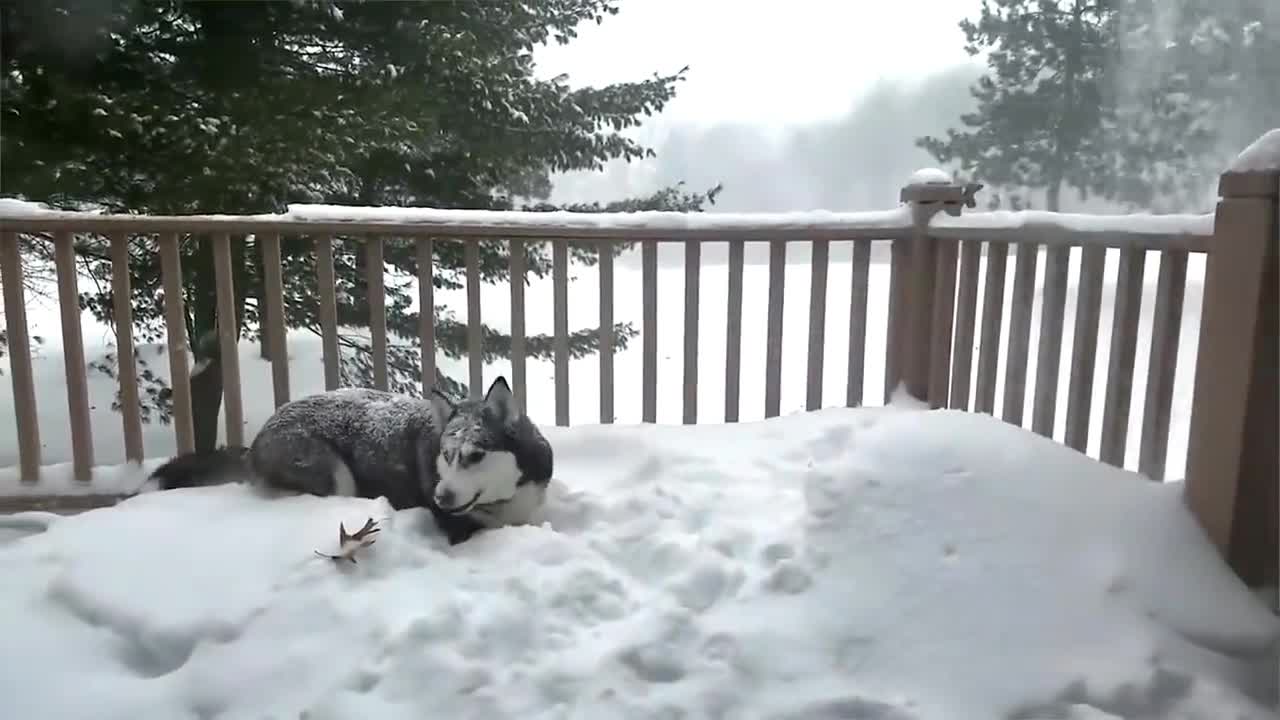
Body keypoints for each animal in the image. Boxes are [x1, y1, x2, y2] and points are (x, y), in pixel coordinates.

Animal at [146, 379, 555, 540]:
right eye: (447, 455)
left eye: (476, 454)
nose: (440, 497)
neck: (507, 496)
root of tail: (259, 436)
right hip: (333, 473)